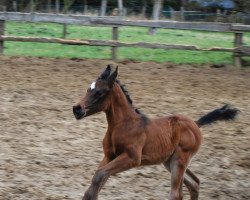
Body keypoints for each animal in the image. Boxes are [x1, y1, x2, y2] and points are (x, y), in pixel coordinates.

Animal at [73, 65, 238, 199]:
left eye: (100, 92)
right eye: (88, 89)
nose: (77, 109)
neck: (122, 125)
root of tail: (196, 124)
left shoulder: (132, 158)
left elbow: (99, 175)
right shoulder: (109, 156)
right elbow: (96, 180)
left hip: (180, 159)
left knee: (176, 193)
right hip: (169, 161)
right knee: (194, 183)